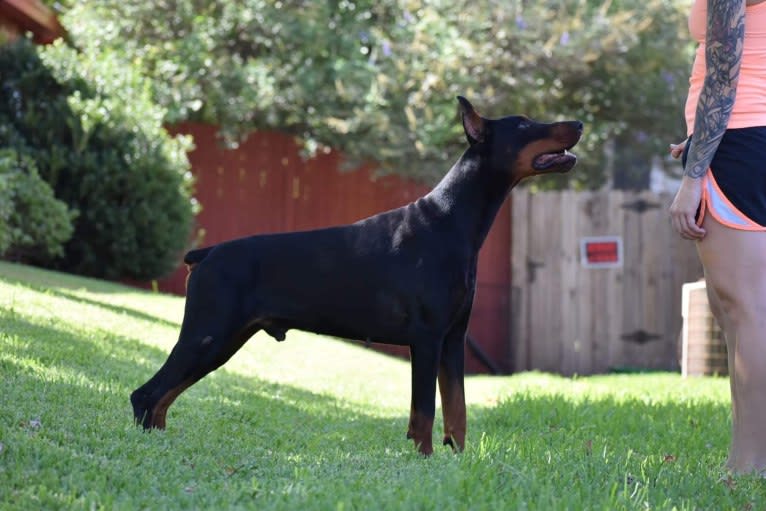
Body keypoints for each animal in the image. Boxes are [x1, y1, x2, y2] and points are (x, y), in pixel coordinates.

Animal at [132, 97, 584, 456]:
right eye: (524, 124)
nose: (579, 124)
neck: (452, 219)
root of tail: (206, 253)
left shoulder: (454, 340)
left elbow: (457, 411)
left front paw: (458, 462)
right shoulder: (426, 338)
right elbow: (424, 411)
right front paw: (423, 462)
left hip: (223, 340)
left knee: (162, 396)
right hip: (208, 333)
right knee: (147, 394)